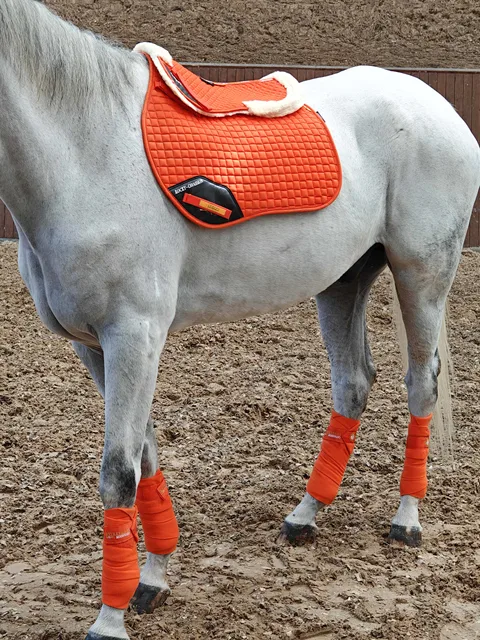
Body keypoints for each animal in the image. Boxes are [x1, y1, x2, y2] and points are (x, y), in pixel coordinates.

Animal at [1, 1, 479, 638]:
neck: (86, 155)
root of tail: (436, 103)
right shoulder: (96, 345)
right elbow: (144, 455)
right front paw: (152, 579)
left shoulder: (134, 335)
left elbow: (118, 472)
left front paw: (109, 619)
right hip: (343, 281)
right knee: (353, 384)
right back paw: (306, 514)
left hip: (422, 274)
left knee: (421, 384)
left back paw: (406, 520)